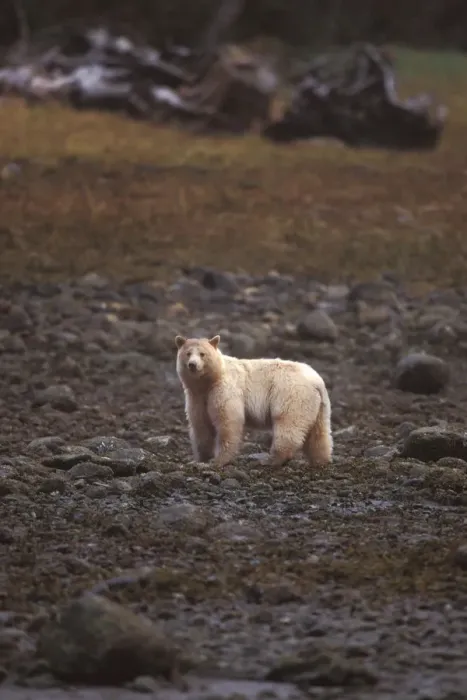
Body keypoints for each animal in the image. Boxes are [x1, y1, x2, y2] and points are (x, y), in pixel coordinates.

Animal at [175, 334, 332, 469]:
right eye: (188, 353)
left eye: (202, 354)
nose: (192, 364)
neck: (209, 381)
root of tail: (316, 381)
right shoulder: (197, 397)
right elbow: (200, 424)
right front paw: (201, 459)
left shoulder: (224, 390)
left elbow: (228, 421)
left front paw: (218, 460)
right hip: (318, 404)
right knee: (319, 433)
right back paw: (320, 460)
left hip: (291, 394)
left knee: (288, 424)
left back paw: (271, 459)